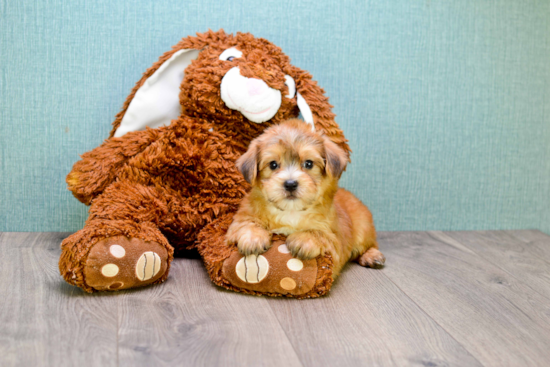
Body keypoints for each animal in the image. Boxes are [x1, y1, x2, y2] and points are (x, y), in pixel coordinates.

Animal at [226, 120, 386, 276]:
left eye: (308, 163)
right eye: (273, 164)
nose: (290, 184)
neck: (291, 212)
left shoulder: (335, 241)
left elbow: (321, 234)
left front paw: (304, 239)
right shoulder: (241, 218)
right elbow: (247, 223)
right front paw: (253, 238)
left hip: (363, 228)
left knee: (369, 244)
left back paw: (372, 255)